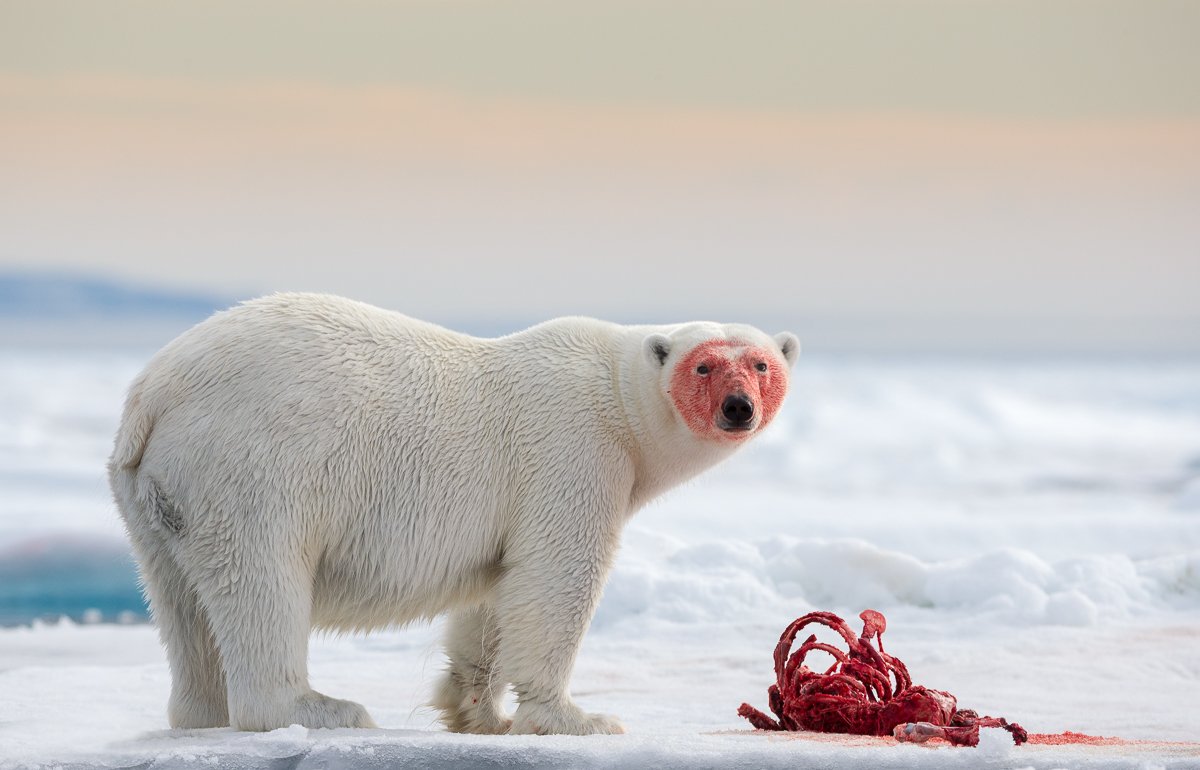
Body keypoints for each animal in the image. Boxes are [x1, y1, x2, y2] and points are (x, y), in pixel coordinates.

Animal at [108, 292, 799, 735]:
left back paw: (201, 713)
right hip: (254, 466)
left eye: (762, 363)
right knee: (262, 581)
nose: (738, 407)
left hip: (156, 495)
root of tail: (154, 393)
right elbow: (555, 580)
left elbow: (497, 594)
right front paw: (579, 718)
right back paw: (321, 708)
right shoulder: (574, 452)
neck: (616, 395)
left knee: (179, 601)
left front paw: (476, 711)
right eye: (704, 364)